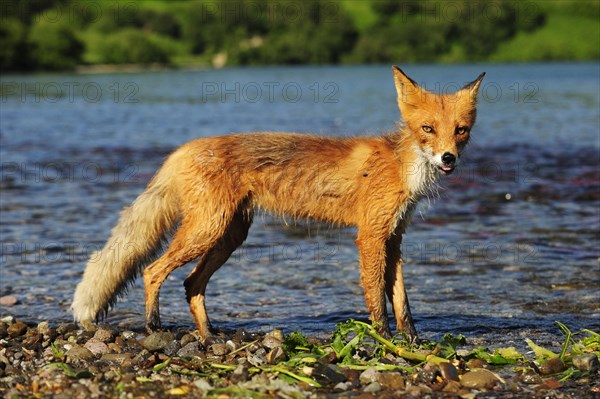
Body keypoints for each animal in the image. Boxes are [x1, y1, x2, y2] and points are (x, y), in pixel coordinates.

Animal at [71, 67, 482, 342]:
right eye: (428, 129)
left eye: (460, 131)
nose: (448, 159)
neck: (401, 166)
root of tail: (183, 148)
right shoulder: (370, 236)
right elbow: (376, 300)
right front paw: (382, 341)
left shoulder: (393, 237)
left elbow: (401, 300)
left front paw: (412, 341)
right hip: (207, 230)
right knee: (152, 270)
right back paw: (154, 325)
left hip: (229, 236)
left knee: (190, 284)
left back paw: (209, 336)